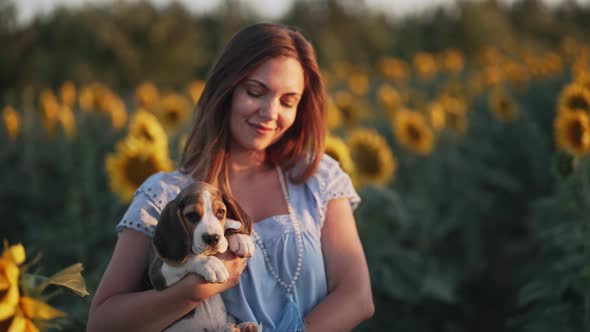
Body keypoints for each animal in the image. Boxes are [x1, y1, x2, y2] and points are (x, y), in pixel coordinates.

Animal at [148, 182, 260, 332]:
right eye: (192, 216)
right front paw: (211, 264)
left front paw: (240, 238)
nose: (212, 238)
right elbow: (189, 258)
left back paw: (245, 327)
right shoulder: (157, 273)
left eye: (220, 212)